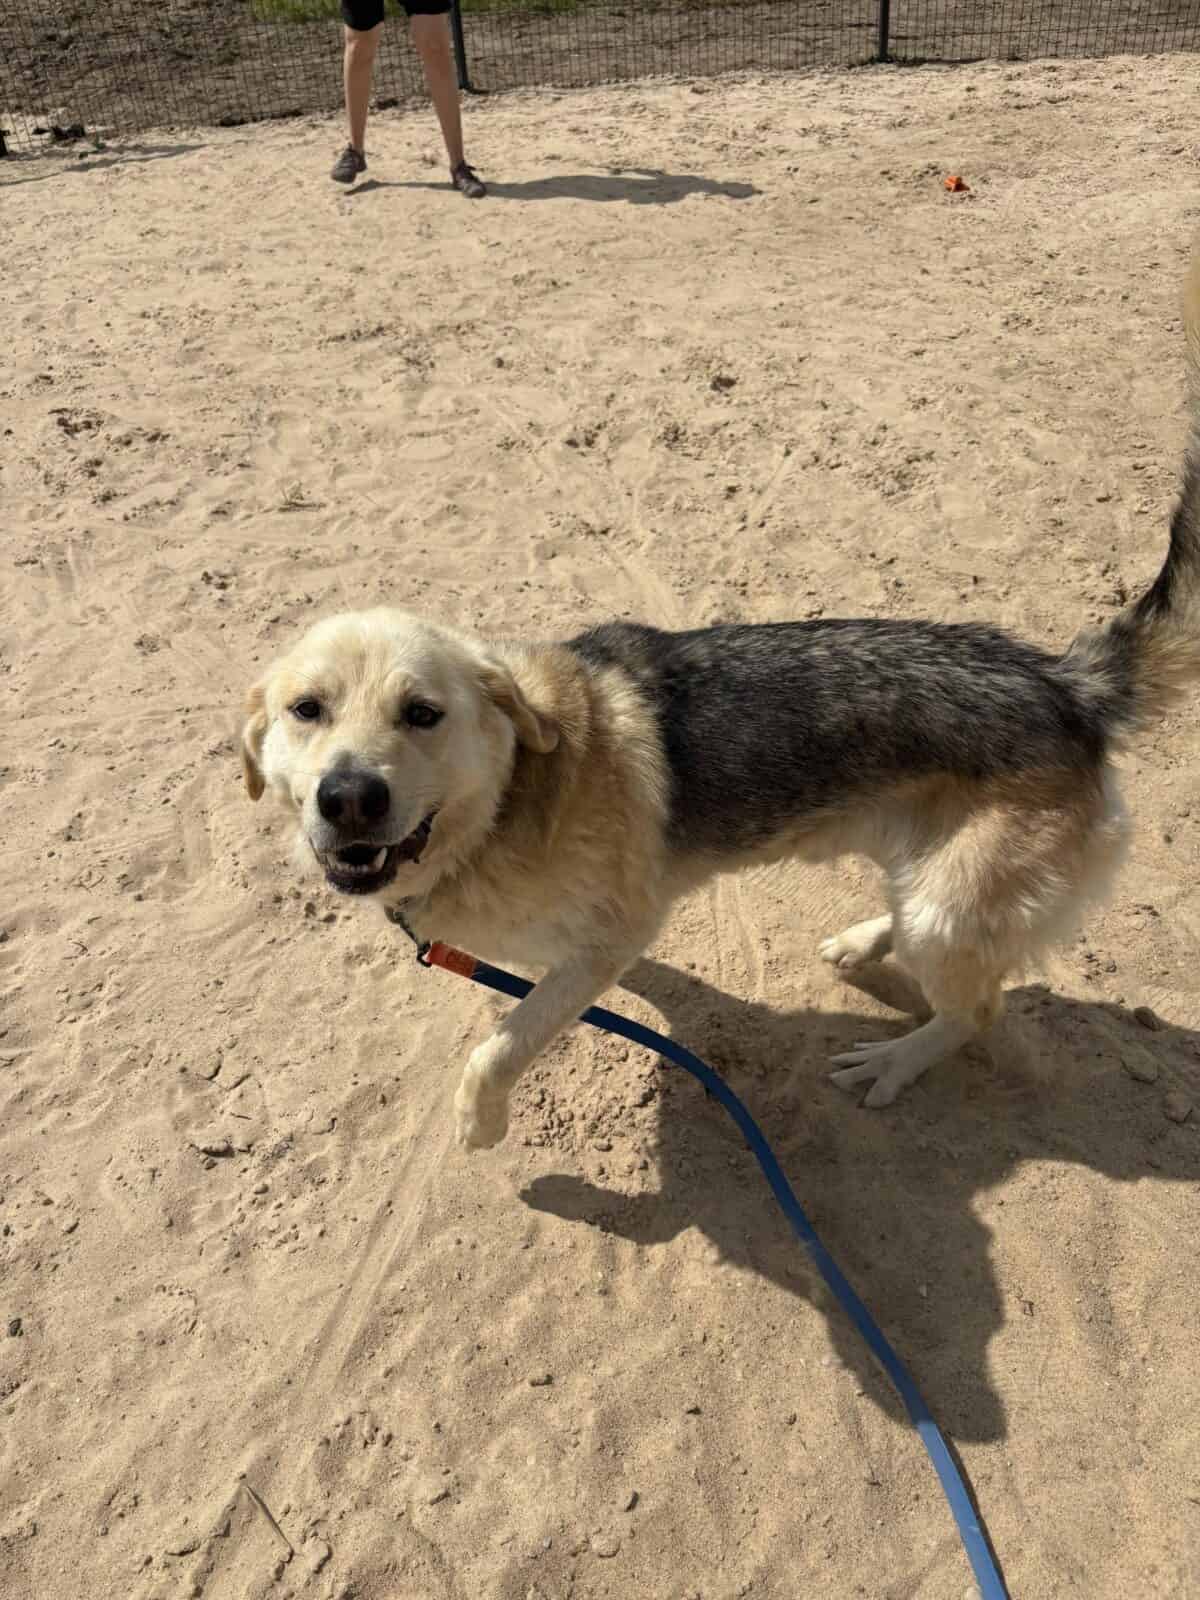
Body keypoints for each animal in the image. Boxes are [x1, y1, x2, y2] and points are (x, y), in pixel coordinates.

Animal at [240, 259, 1200, 1151]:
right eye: (306, 710)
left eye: (423, 714)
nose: (348, 798)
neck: (510, 803)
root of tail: (1066, 681)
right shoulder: (586, 948)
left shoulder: (611, 935)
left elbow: (504, 1040)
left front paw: (481, 1119)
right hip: (930, 878)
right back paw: (864, 941)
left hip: (949, 909)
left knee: (975, 1011)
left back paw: (894, 1060)